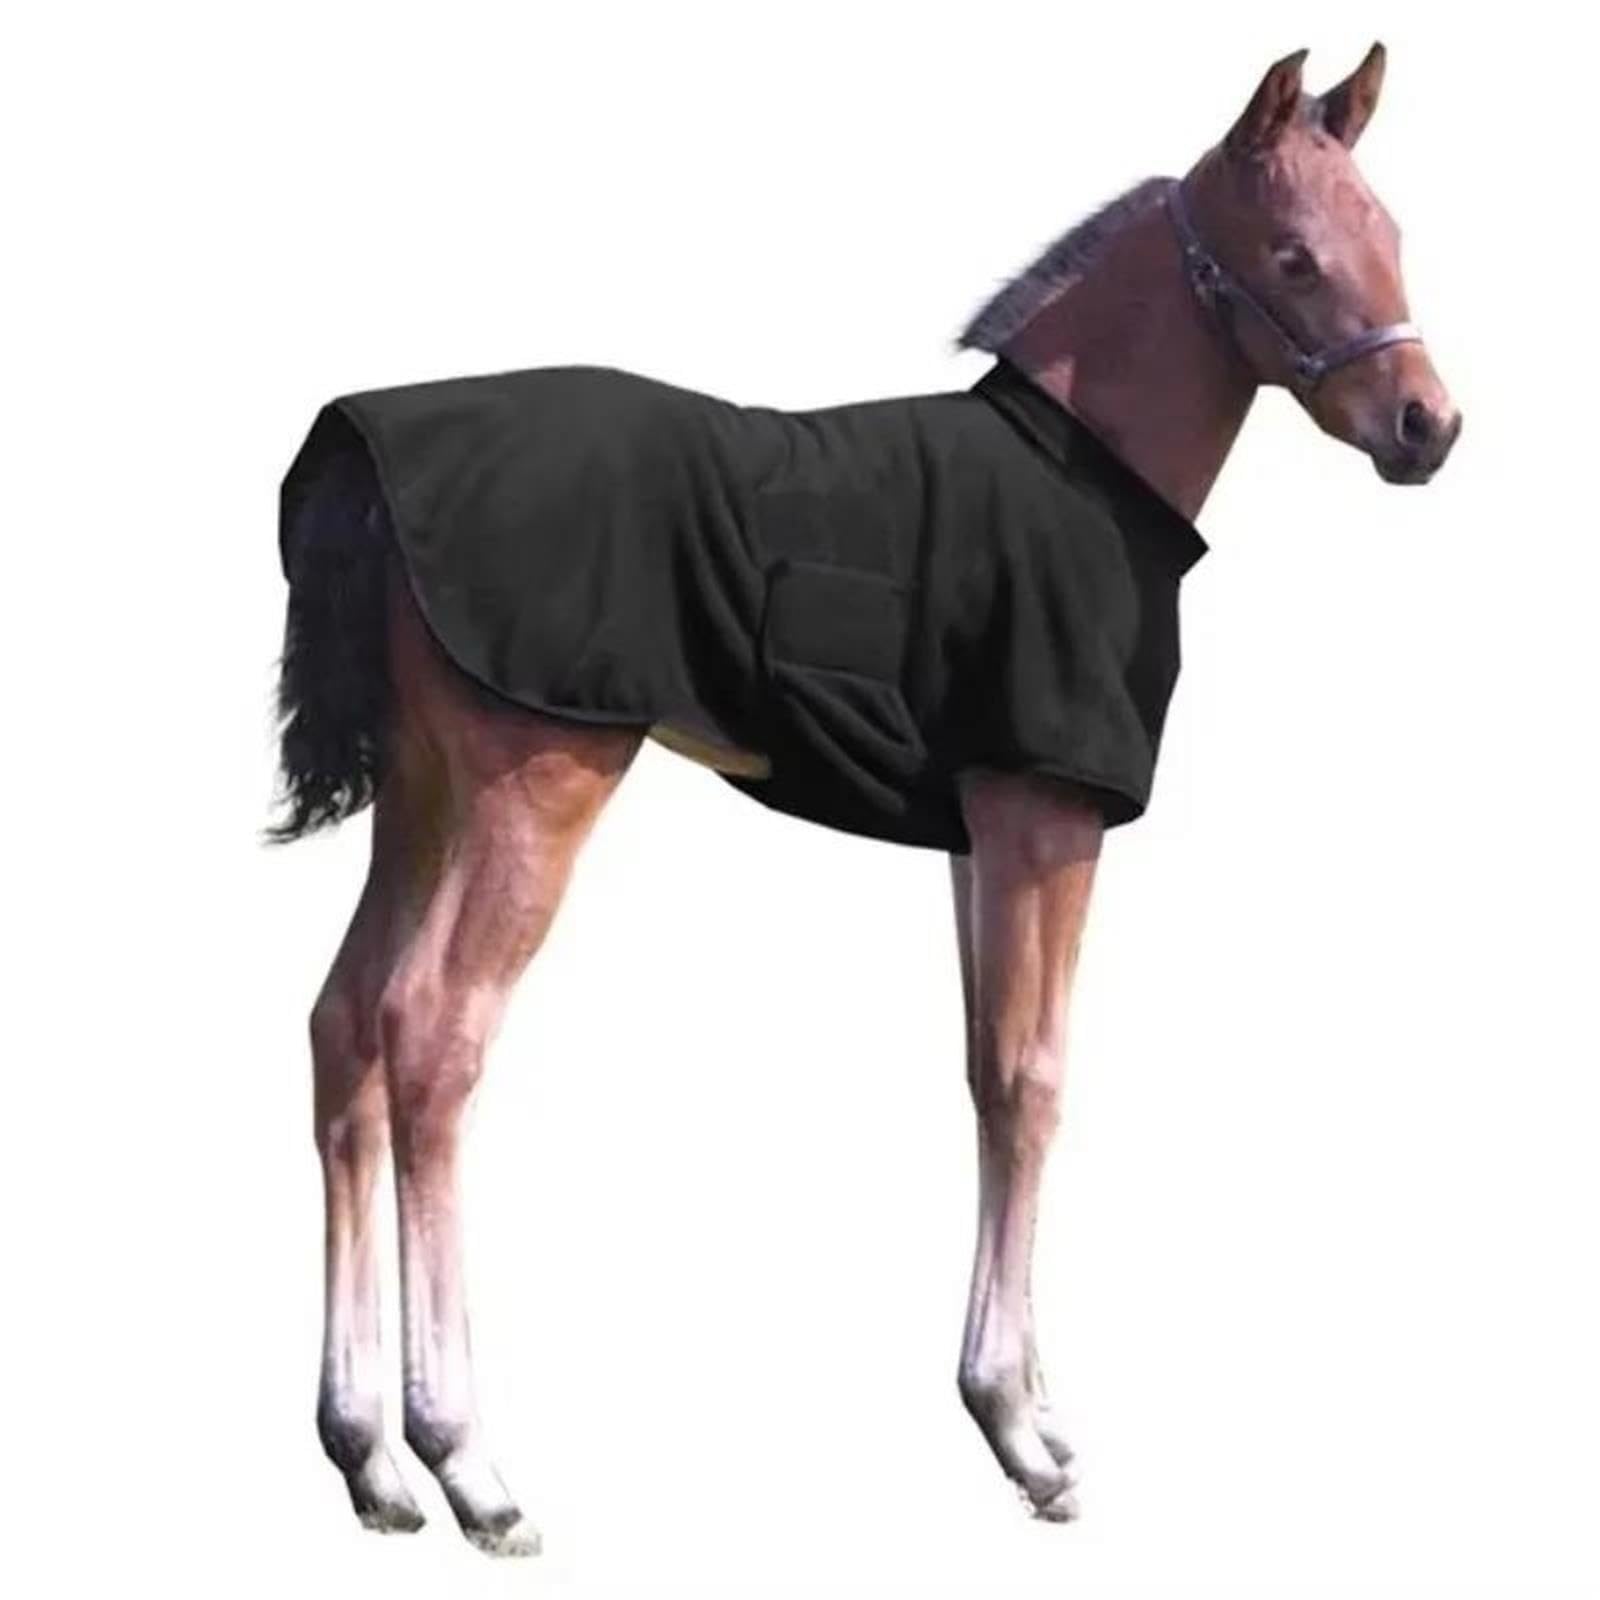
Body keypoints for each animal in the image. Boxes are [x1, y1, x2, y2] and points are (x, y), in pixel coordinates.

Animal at [268, 43, 1460, 1556]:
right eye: (1296, 257)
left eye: (1393, 234)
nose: (1428, 428)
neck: (1078, 472)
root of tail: (366, 453)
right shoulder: (1046, 816)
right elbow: (1034, 1078)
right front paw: (1021, 1434)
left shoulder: (977, 834)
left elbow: (983, 1068)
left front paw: (1028, 1404)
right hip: (528, 794)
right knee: (430, 1037)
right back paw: (467, 1461)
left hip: (420, 801)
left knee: (345, 1028)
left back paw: (365, 1457)